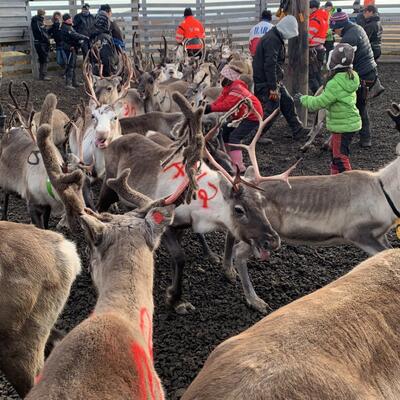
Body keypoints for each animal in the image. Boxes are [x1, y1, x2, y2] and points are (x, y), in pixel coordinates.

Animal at [97, 94, 298, 314]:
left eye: (262, 203)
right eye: (239, 210)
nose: (273, 241)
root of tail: (115, 139)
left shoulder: (182, 226)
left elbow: (177, 256)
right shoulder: (166, 221)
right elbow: (180, 257)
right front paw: (175, 298)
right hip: (108, 185)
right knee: (98, 208)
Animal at [220, 101, 400, 313]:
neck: (386, 192)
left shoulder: (381, 234)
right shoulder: (358, 233)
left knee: (231, 232)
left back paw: (228, 270)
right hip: (261, 235)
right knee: (240, 252)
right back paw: (255, 300)